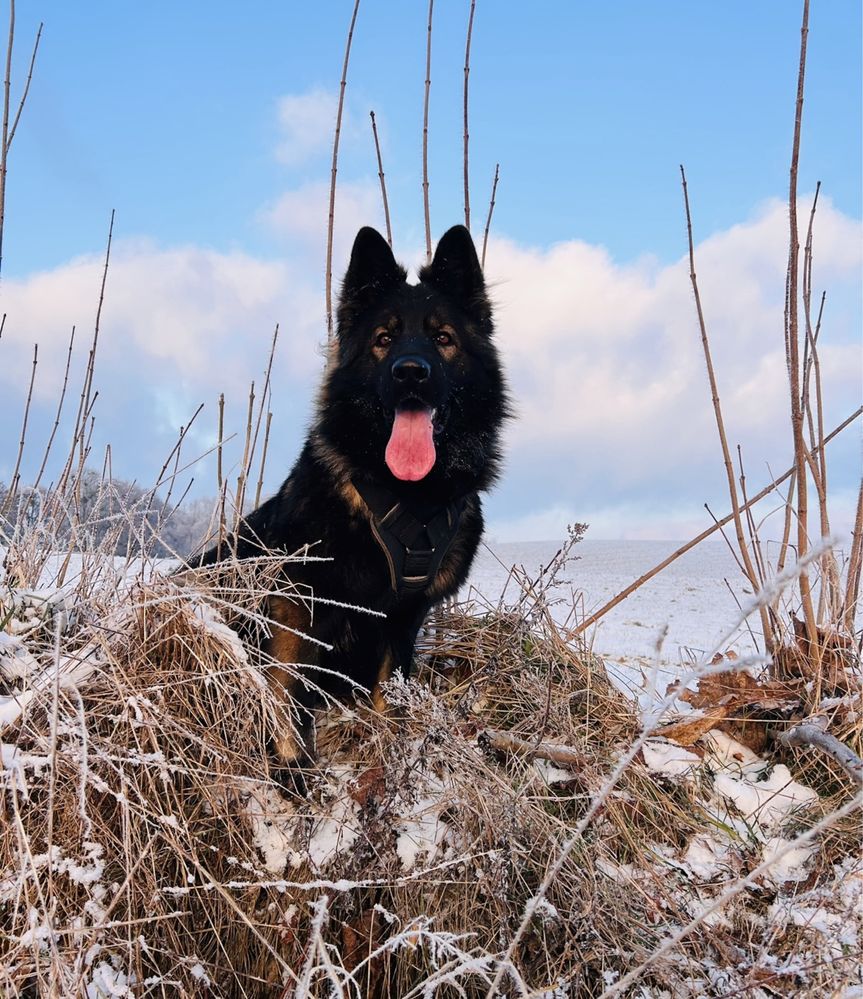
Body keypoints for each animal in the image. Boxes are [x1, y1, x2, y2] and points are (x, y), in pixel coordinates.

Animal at [196, 223, 506, 776]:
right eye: (384, 339)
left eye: (442, 338)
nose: (411, 372)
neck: (409, 495)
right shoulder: (298, 600)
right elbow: (286, 685)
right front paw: (291, 764)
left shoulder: (403, 618)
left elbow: (389, 692)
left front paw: (387, 755)